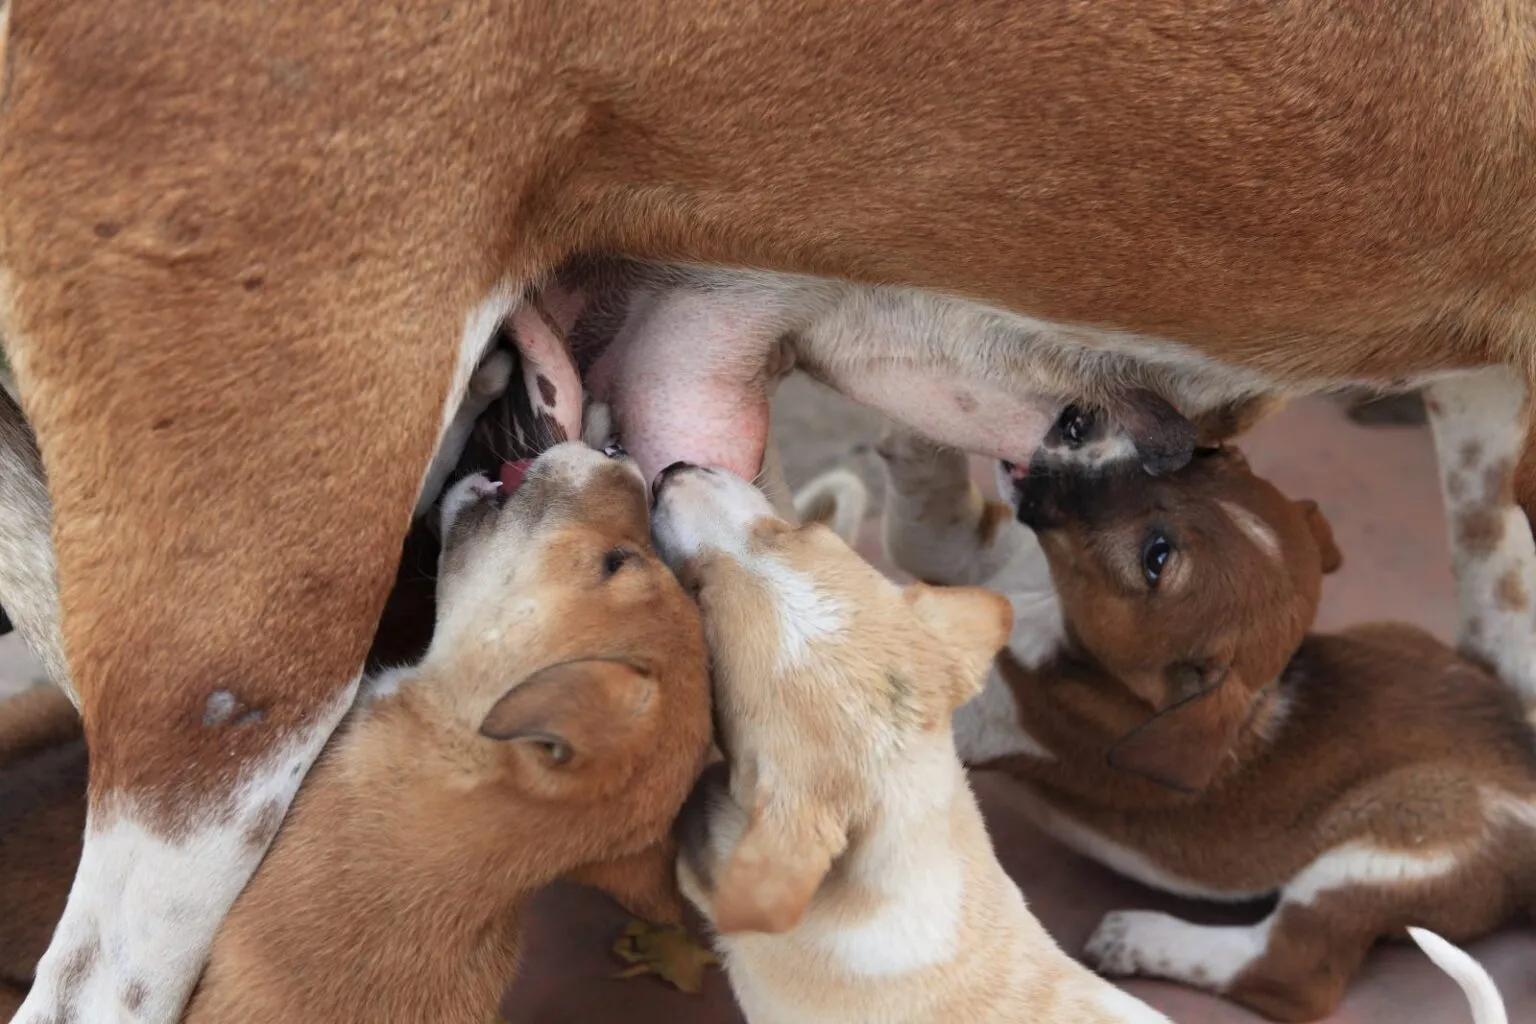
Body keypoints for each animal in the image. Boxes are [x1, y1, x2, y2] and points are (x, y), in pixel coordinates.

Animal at [878, 436, 1523, 1024]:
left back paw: (1135, 938)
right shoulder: (974, 551)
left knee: (1289, 973)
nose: (1074, 421)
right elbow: (931, 521)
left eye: (1157, 556)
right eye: (1213, 457)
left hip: (1391, 848)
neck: (1051, 605)